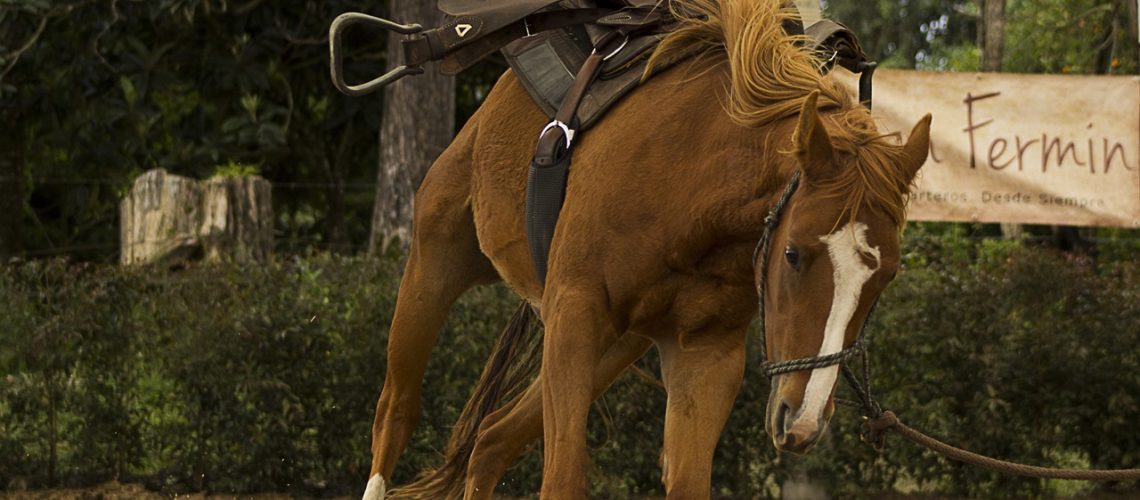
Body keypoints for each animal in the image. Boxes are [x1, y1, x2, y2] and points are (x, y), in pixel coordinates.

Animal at [362, 0, 931, 498]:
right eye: (792, 253)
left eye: (885, 279)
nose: (805, 419)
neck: (693, 188)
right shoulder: (575, 313)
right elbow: (562, 481)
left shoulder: (704, 355)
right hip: (437, 258)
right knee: (395, 412)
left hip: (617, 344)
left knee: (491, 441)